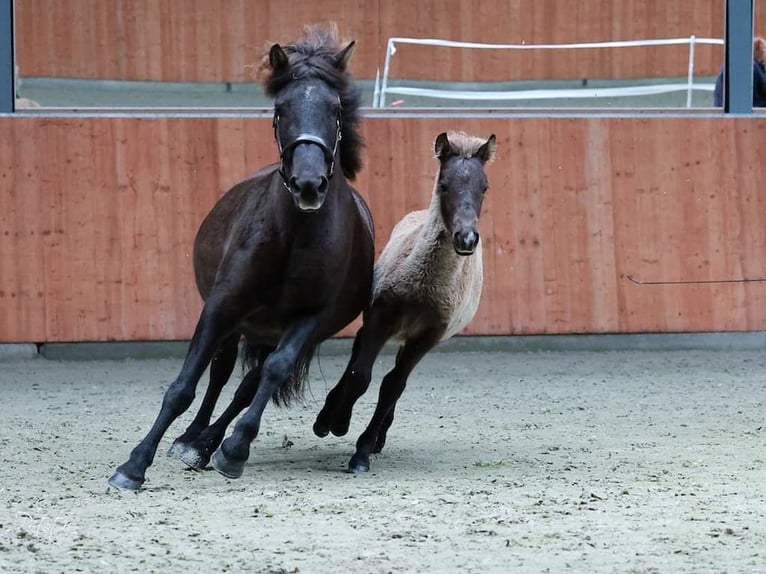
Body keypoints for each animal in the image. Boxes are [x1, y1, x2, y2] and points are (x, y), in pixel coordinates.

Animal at [108, 25, 375, 490]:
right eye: (281, 109)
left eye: (335, 109)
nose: (309, 184)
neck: (293, 236)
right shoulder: (221, 306)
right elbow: (184, 385)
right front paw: (134, 463)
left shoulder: (310, 319)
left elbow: (271, 374)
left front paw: (234, 450)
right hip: (238, 323)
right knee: (219, 373)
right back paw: (191, 441)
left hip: (271, 331)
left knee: (250, 382)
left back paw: (208, 444)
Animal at [313, 131, 496, 473]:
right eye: (444, 184)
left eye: (484, 187)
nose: (466, 239)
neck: (424, 288)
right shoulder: (380, 317)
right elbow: (360, 375)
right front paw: (335, 422)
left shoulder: (428, 336)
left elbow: (392, 386)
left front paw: (363, 451)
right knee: (357, 354)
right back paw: (332, 414)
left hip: (409, 339)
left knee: (395, 380)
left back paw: (378, 439)